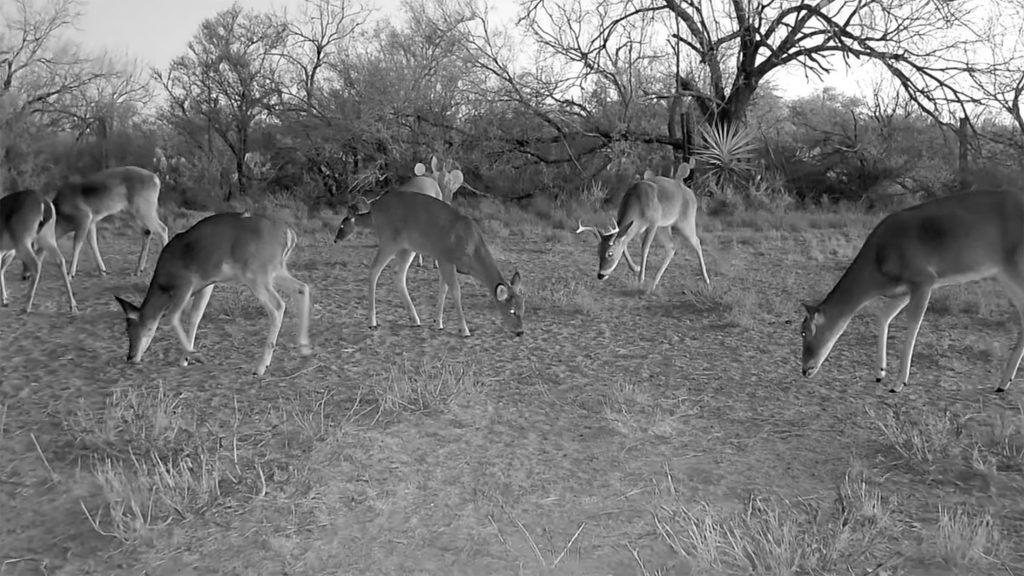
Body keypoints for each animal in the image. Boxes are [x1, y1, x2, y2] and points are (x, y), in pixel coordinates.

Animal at [114, 212, 311, 377]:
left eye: (129, 329)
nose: (130, 357)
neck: (164, 283)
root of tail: (289, 234)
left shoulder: (185, 283)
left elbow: (173, 317)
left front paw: (195, 356)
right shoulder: (207, 284)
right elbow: (195, 317)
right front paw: (185, 359)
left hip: (256, 274)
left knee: (278, 306)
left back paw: (261, 367)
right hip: (276, 270)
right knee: (302, 288)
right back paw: (304, 348)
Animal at [335, 189, 524, 338]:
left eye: (523, 308)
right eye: (512, 311)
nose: (520, 332)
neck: (472, 247)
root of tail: (374, 208)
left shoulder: (445, 261)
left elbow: (443, 289)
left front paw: (437, 323)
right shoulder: (445, 258)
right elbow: (455, 291)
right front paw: (464, 330)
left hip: (408, 247)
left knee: (399, 276)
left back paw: (415, 319)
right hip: (389, 240)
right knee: (374, 271)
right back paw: (372, 321)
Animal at [576, 159, 710, 291]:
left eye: (610, 253)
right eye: (598, 251)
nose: (601, 275)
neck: (637, 204)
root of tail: (692, 194)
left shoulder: (653, 222)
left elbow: (645, 247)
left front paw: (640, 280)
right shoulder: (635, 227)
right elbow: (625, 244)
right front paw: (636, 268)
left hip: (685, 221)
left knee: (697, 242)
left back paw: (706, 280)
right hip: (664, 227)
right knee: (671, 247)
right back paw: (654, 284)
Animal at [801, 188, 1024, 393]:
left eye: (804, 331)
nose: (805, 369)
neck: (878, 265)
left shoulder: (924, 279)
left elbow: (913, 325)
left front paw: (899, 383)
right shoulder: (903, 289)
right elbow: (883, 316)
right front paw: (880, 372)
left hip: (1016, 267)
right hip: (1004, 275)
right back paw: (1004, 383)